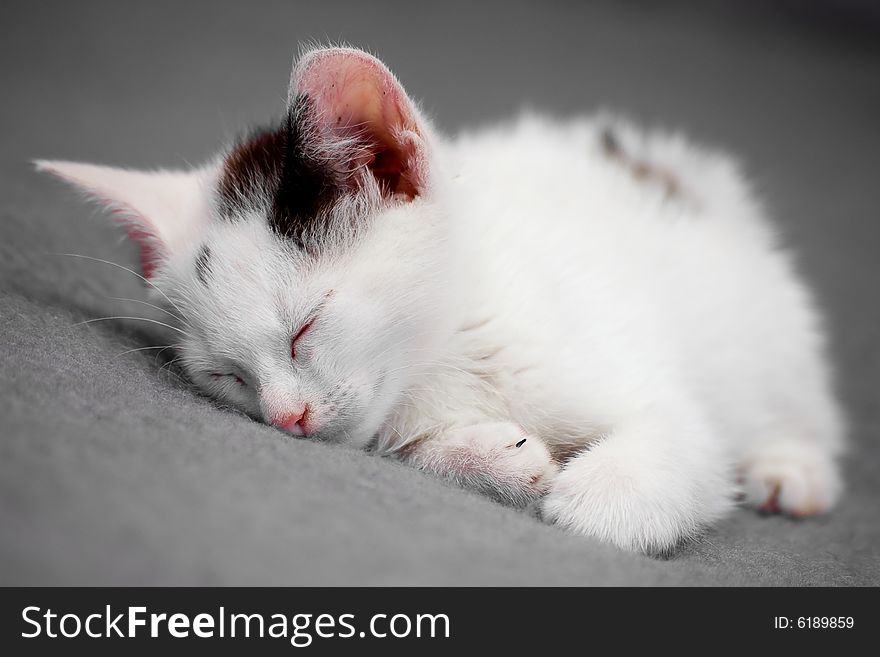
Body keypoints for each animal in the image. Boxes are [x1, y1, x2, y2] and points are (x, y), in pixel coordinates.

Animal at [37, 46, 844, 552]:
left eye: (304, 328)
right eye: (226, 376)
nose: (285, 419)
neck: (445, 352)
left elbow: (683, 435)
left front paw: (599, 504)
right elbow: (411, 446)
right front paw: (498, 458)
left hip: (770, 324)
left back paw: (790, 468)